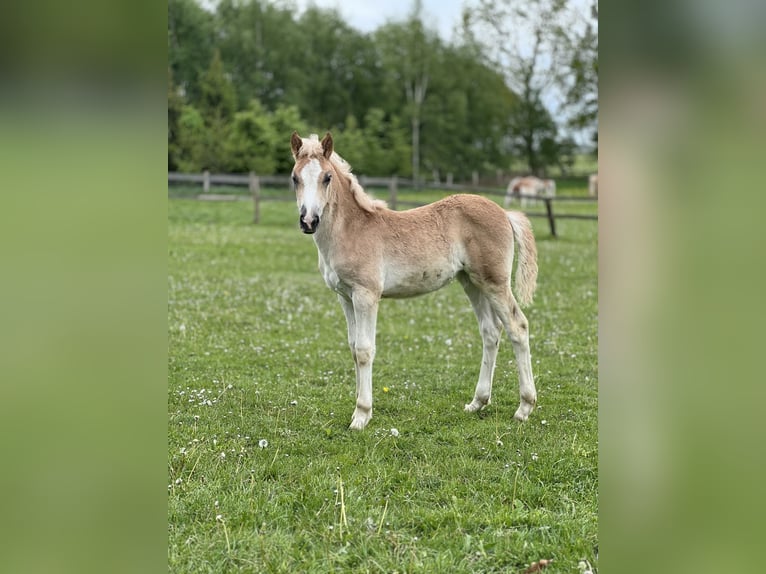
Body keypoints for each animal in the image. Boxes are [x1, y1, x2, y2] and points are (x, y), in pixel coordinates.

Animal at [290, 132, 539, 430]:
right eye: (295, 178)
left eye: (327, 177)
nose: (309, 221)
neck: (351, 229)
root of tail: (504, 212)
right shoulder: (344, 296)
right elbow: (352, 348)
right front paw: (359, 411)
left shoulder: (366, 295)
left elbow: (364, 350)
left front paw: (361, 415)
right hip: (471, 282)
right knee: (491, 332)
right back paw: (477, 402)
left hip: (495, 282)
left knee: (517, 327)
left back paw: (524, 408)